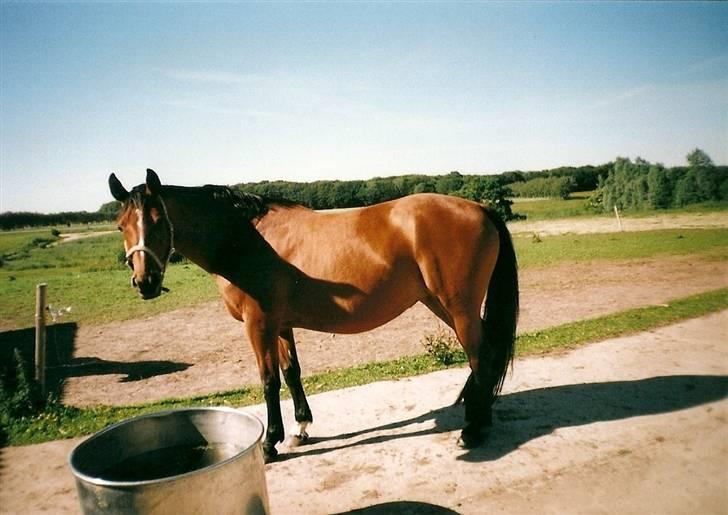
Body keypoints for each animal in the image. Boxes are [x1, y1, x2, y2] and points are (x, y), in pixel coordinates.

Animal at [108, 169, 516, 464]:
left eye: (158, 221)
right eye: (121, 225)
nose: (144, 282)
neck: (245, 239)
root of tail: (480, 208)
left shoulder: (259, 326)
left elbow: (268, 381)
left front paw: (269, 444)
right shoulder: (281, 325)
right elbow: (291, 373)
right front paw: (301, 428)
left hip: (458, 308)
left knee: (482, 356)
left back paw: (473, 430)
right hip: (440, 304)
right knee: (487, 354)